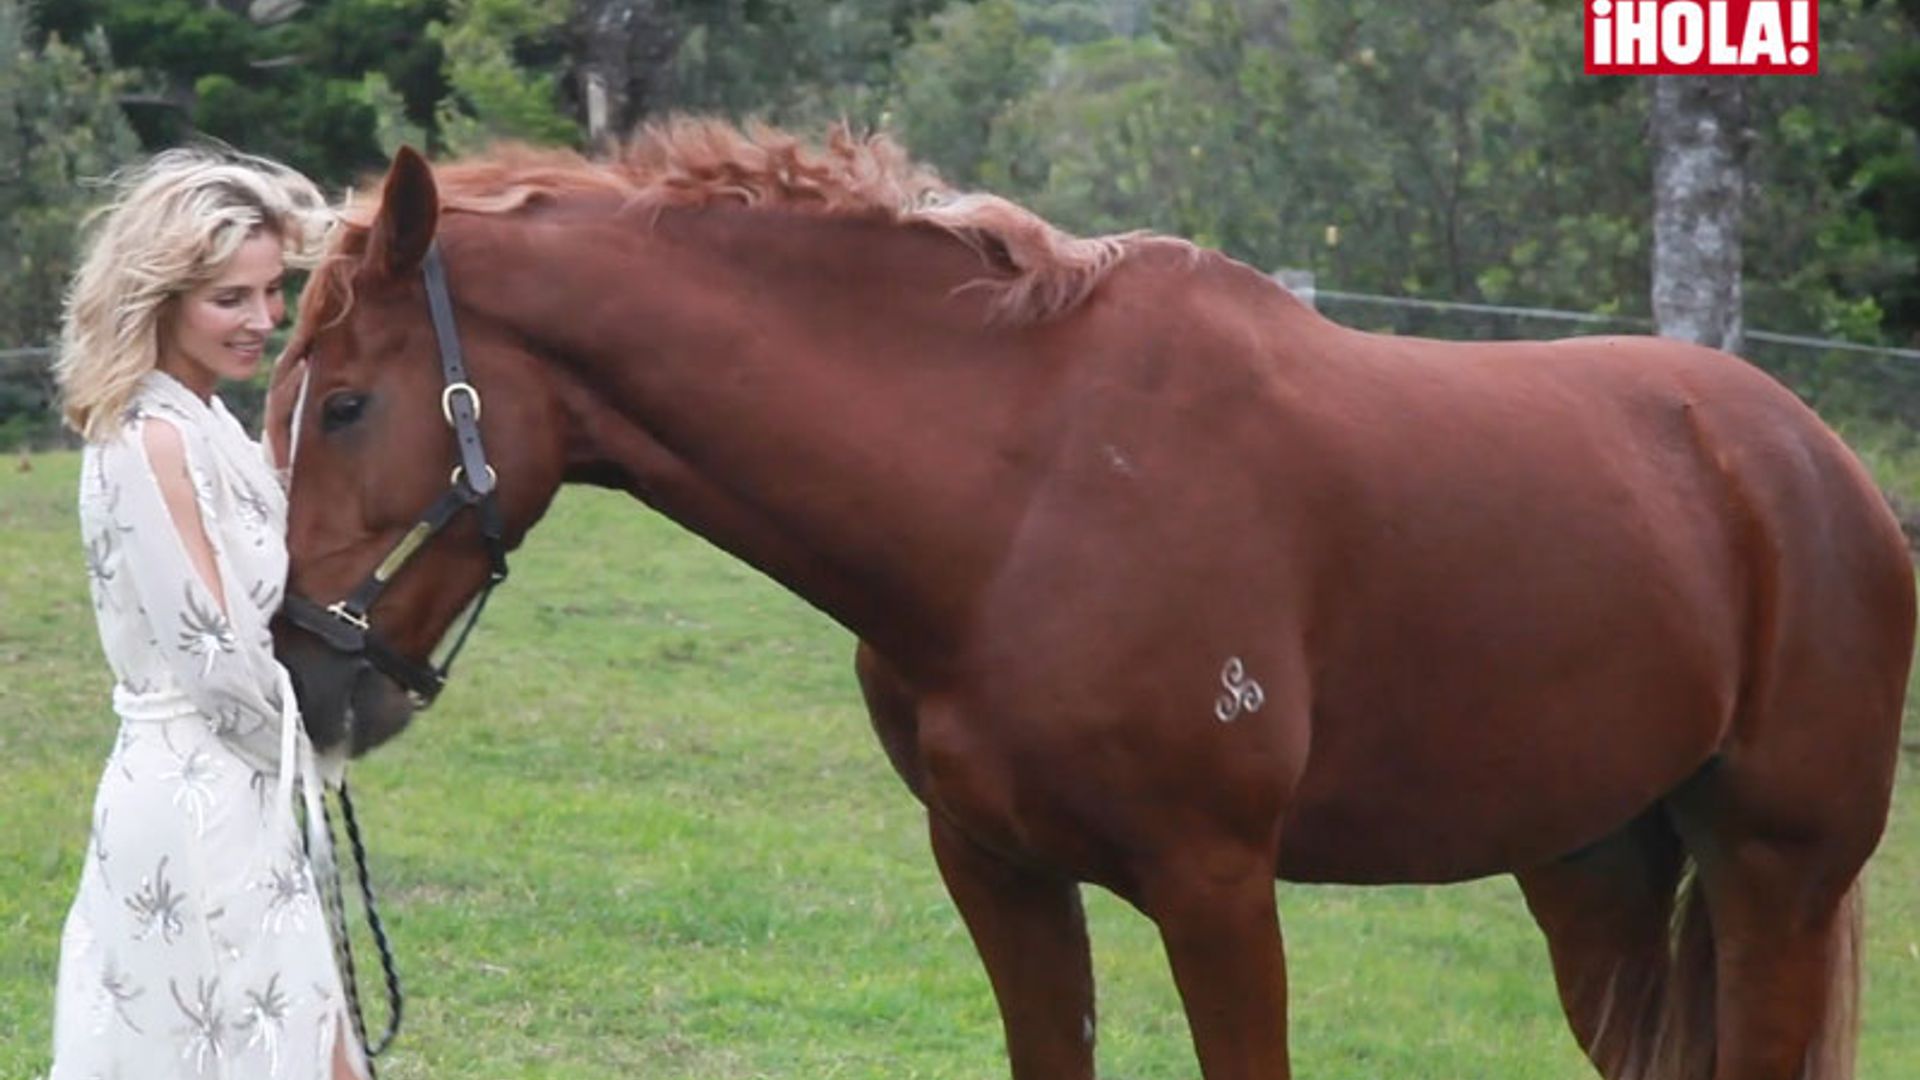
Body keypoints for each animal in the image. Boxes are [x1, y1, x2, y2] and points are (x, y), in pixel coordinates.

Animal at [266, 122, 1904, 1068]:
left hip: (1775, 875)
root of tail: (1814, 464)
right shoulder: (998, 872)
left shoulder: (1219, 889)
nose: (302, 667)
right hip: (1595, 875)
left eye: (344, 404)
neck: (1021, 499)